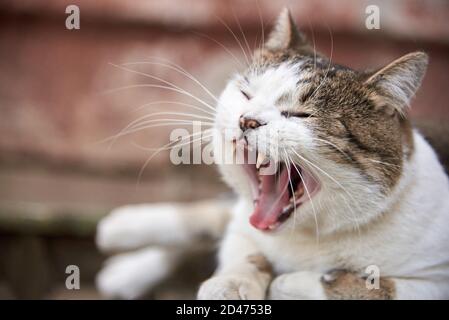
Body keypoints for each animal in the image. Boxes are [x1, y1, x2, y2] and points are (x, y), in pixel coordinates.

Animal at [94, 7, 448, 298]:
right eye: (246, 93)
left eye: (301, 115)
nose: (247, 120)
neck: (307, 237)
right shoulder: (246, 230)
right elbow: (244, 249)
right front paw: (232, 283)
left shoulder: (432, 281)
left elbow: (373, 287)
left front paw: (291, 282)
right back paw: (124, 239)